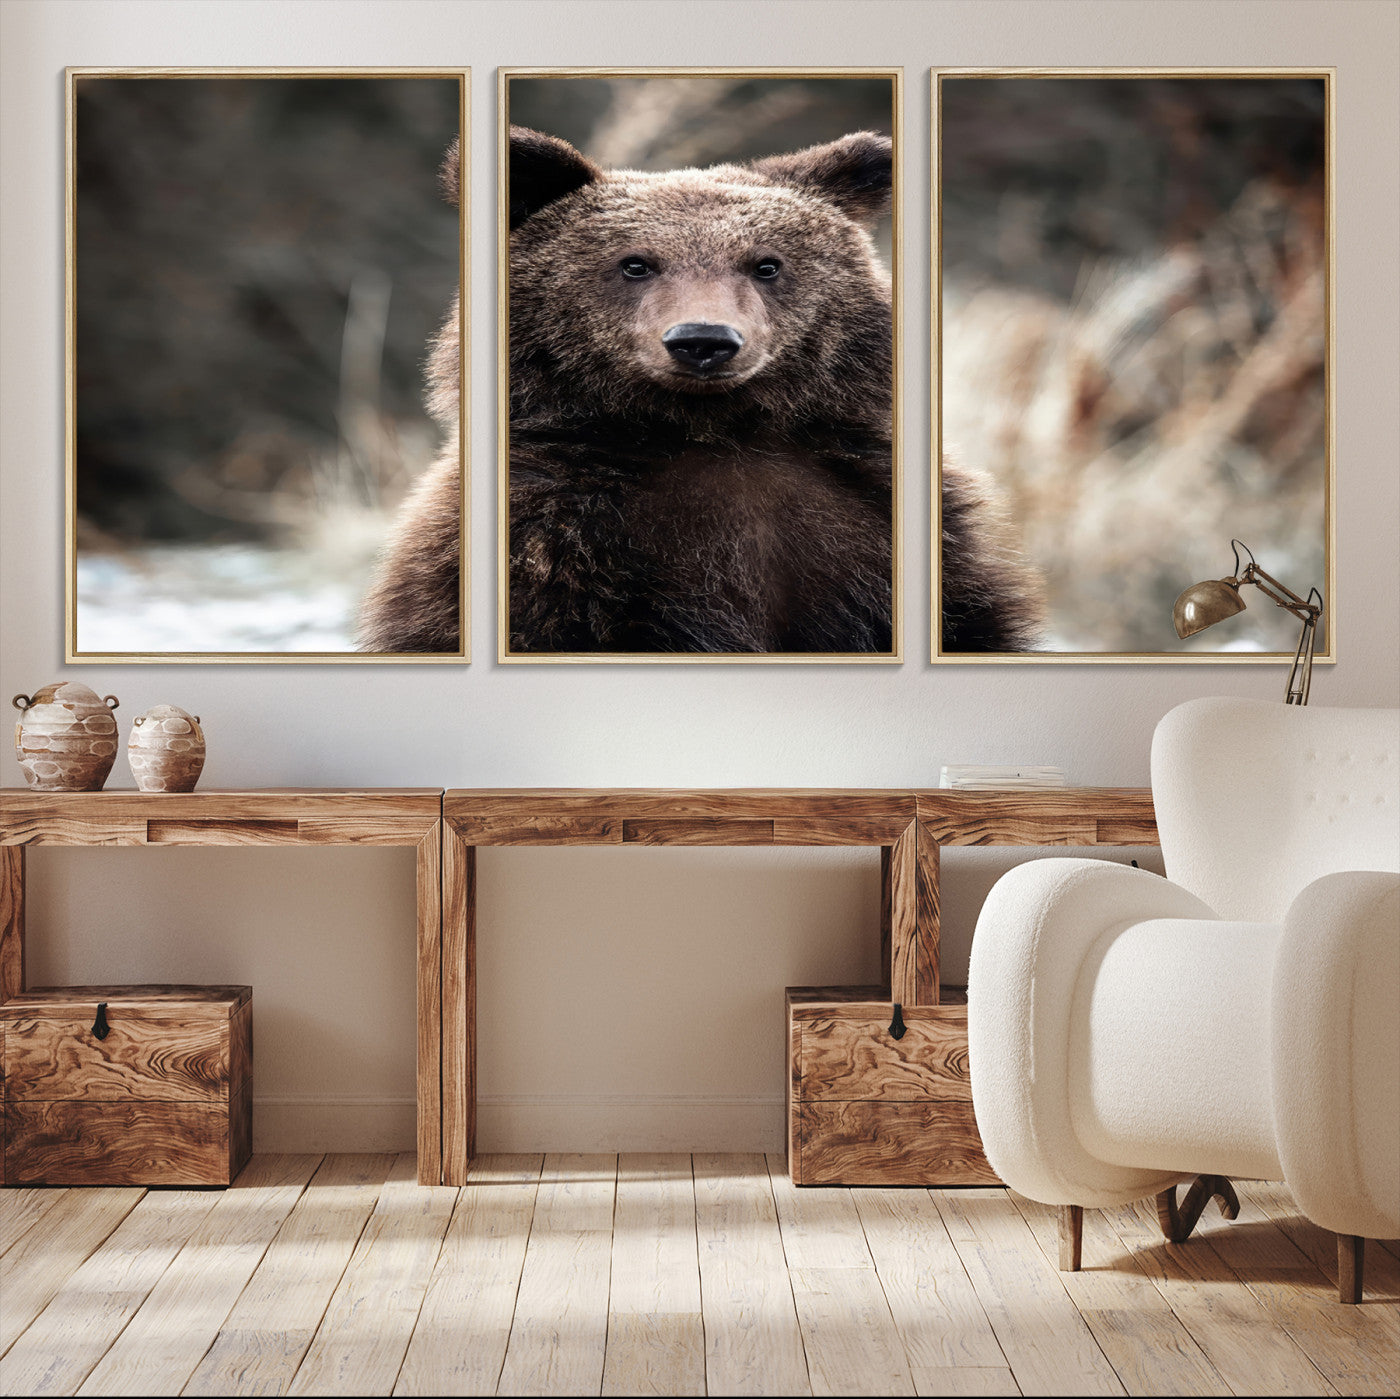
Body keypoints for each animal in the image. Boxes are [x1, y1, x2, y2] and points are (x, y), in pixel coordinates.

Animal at [358, 128, 1041, 654]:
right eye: (635, 263)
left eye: (766, 263)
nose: (703, 340)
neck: (712, 431)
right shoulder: (555, 538)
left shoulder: (874, 515)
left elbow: (969, 619)